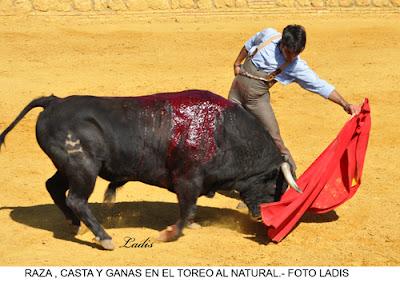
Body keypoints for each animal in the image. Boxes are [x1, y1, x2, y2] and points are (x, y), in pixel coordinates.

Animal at [0, 90, 294, 249]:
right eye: (273, 183)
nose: (262, 217)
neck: (224, 132)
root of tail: (55, 102)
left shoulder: (193, 183)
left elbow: (190, 210)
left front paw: (191, 225)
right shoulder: (188, 179)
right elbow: (186, 208)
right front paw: (168, 234)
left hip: (68, 167)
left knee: (54, 187)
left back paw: (75, 225)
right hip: (83, 168)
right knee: (77, 199)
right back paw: (104, 238)